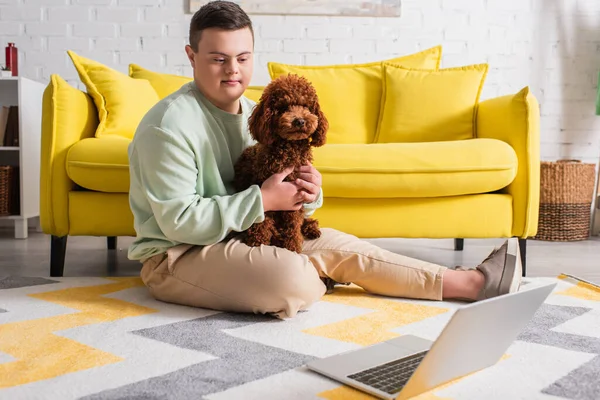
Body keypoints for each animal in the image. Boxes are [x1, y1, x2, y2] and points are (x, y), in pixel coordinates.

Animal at [233, 73, 328, 253]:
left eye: (306, 106)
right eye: (283, 108)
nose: (300, 121)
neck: (289, 149)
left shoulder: (298, 193)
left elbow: (293, 223)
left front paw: (292, 246)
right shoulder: (265, 188)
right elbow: (262, 216)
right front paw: (257, 240)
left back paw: (310, 228)